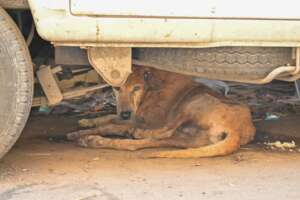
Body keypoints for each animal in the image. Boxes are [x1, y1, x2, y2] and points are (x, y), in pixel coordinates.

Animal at [66, 65, 255, 158]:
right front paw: (87, 122)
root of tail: (238, 132)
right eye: (117, 88)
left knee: (164, 130)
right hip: (189, 140)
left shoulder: (144, 118)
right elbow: (109, 117)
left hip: (195, 103)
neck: (151, 88)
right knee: (139, 144)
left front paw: (81, 131)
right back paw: (94, 141)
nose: (126, 113)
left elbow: (110, 124)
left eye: (136, 88)